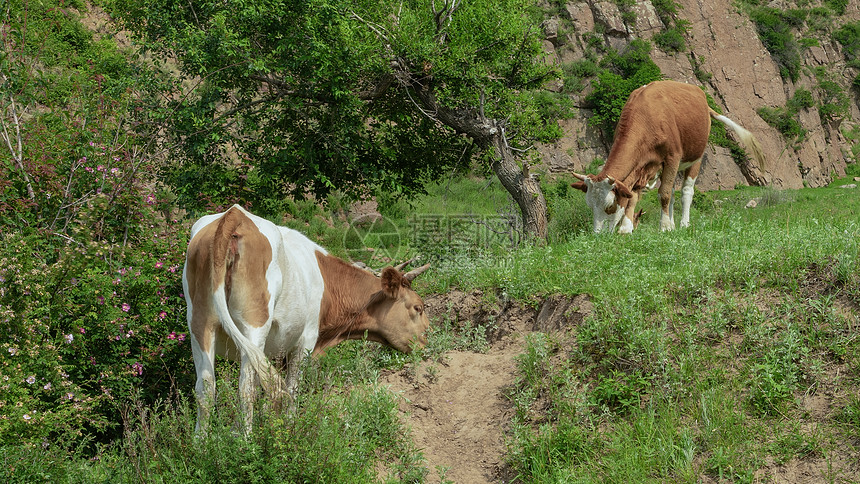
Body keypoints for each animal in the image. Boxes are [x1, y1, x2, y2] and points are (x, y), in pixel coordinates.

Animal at [181, 204, 430, 432]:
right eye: (418, 307)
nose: (426, 343)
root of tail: (234, 215)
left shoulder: (277, 349)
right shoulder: (306, 340)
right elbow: (291, 388)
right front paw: (289, 428)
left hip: (199, 325)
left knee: (205, 389)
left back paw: (201, 444)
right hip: (254, 325)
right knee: (246, 388)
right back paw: (246, 441)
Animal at [572, 80, 764, 234]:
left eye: (609, 206)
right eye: (590, 205)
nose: (598, 235)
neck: (647, 116)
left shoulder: (672, 157)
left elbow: (663, 194)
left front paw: (664, 227)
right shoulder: (641, 166)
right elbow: (633, 195)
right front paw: (626, 228)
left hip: (695, 157)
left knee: (686, 191)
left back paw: (684, 224)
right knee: (671, 191)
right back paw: (672, 223)